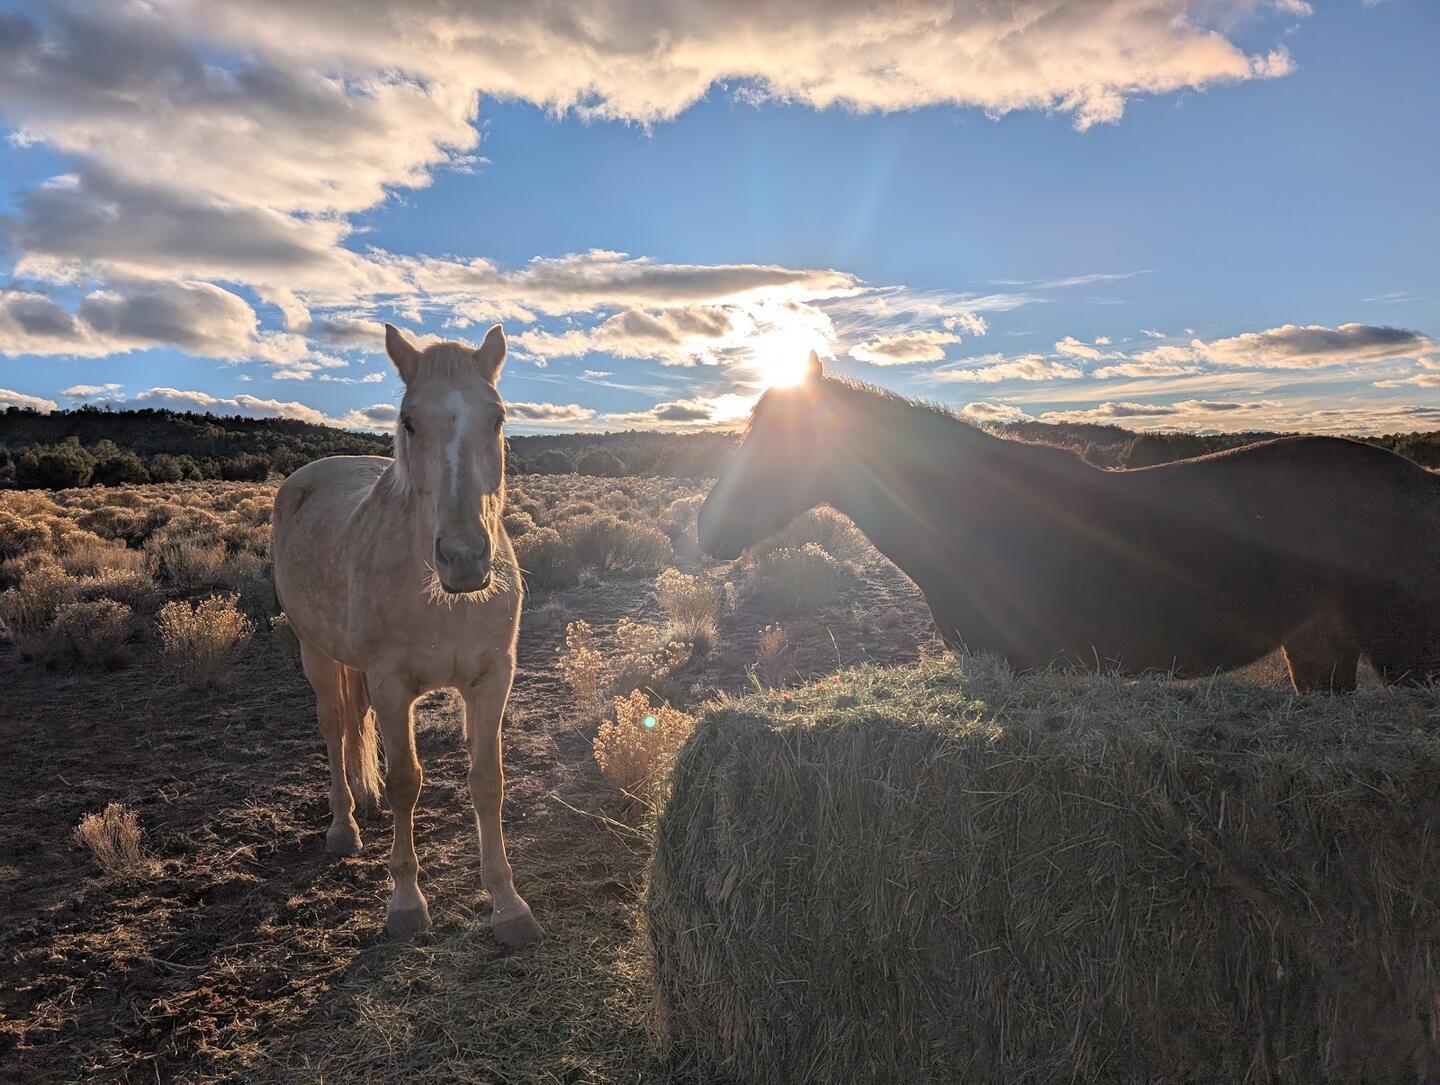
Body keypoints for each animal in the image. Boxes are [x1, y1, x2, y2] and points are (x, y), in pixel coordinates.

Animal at [272, 323, 543, 945]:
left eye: (497, 418)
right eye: (409, 421)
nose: (465, 559)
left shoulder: (493, 678)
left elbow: (487, 780)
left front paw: (508, 903)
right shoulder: (393, 685)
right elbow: (405, 783)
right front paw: (406, 904)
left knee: (353, 723)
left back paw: (362, 800)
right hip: (315, 651)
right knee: (333, 725)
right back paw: (344, 825)